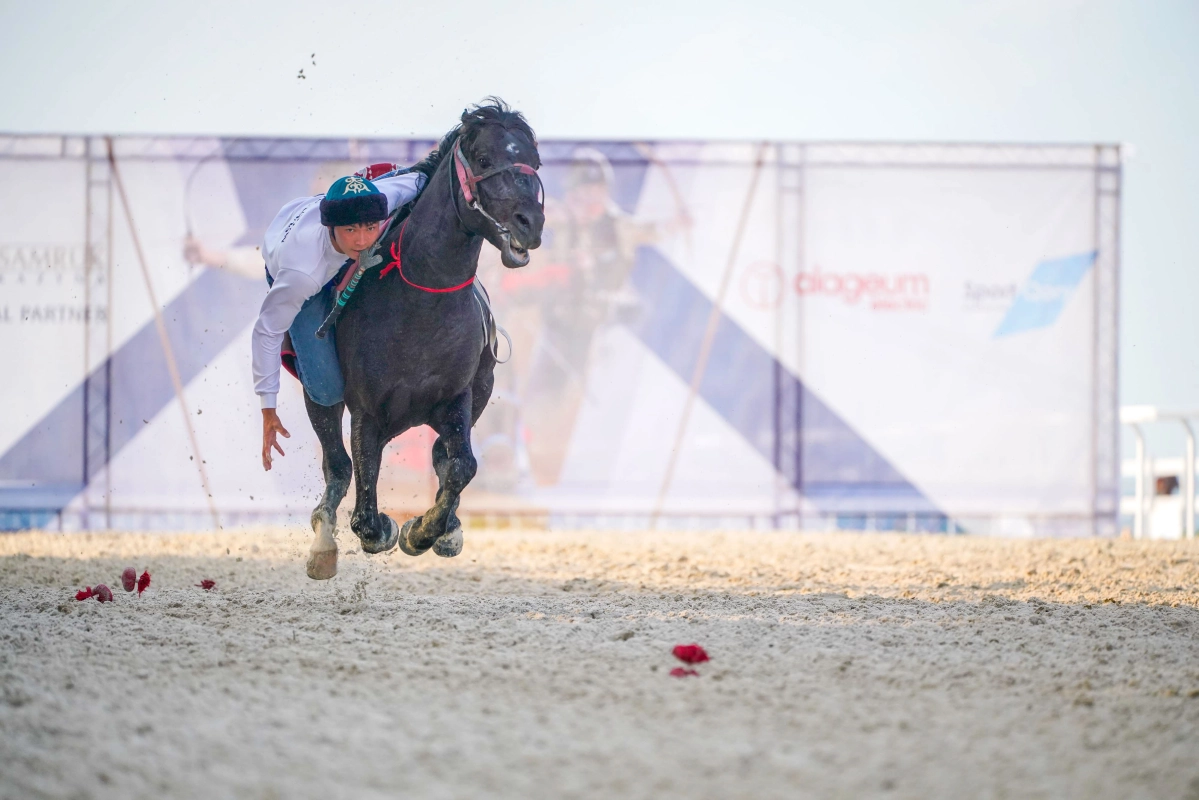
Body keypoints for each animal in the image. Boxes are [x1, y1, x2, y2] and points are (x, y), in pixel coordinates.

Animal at [302, 100, 546, 578]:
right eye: (484, 159)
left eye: (536, 160)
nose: (530, 223)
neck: (421, 299)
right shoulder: (366, 411)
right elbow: (365, 505)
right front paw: (387, 527)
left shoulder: (458, 399)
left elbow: (461, 465)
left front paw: (425, 530)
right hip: (318, 393)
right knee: (337, 464)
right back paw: (324, 539)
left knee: (440, 456)